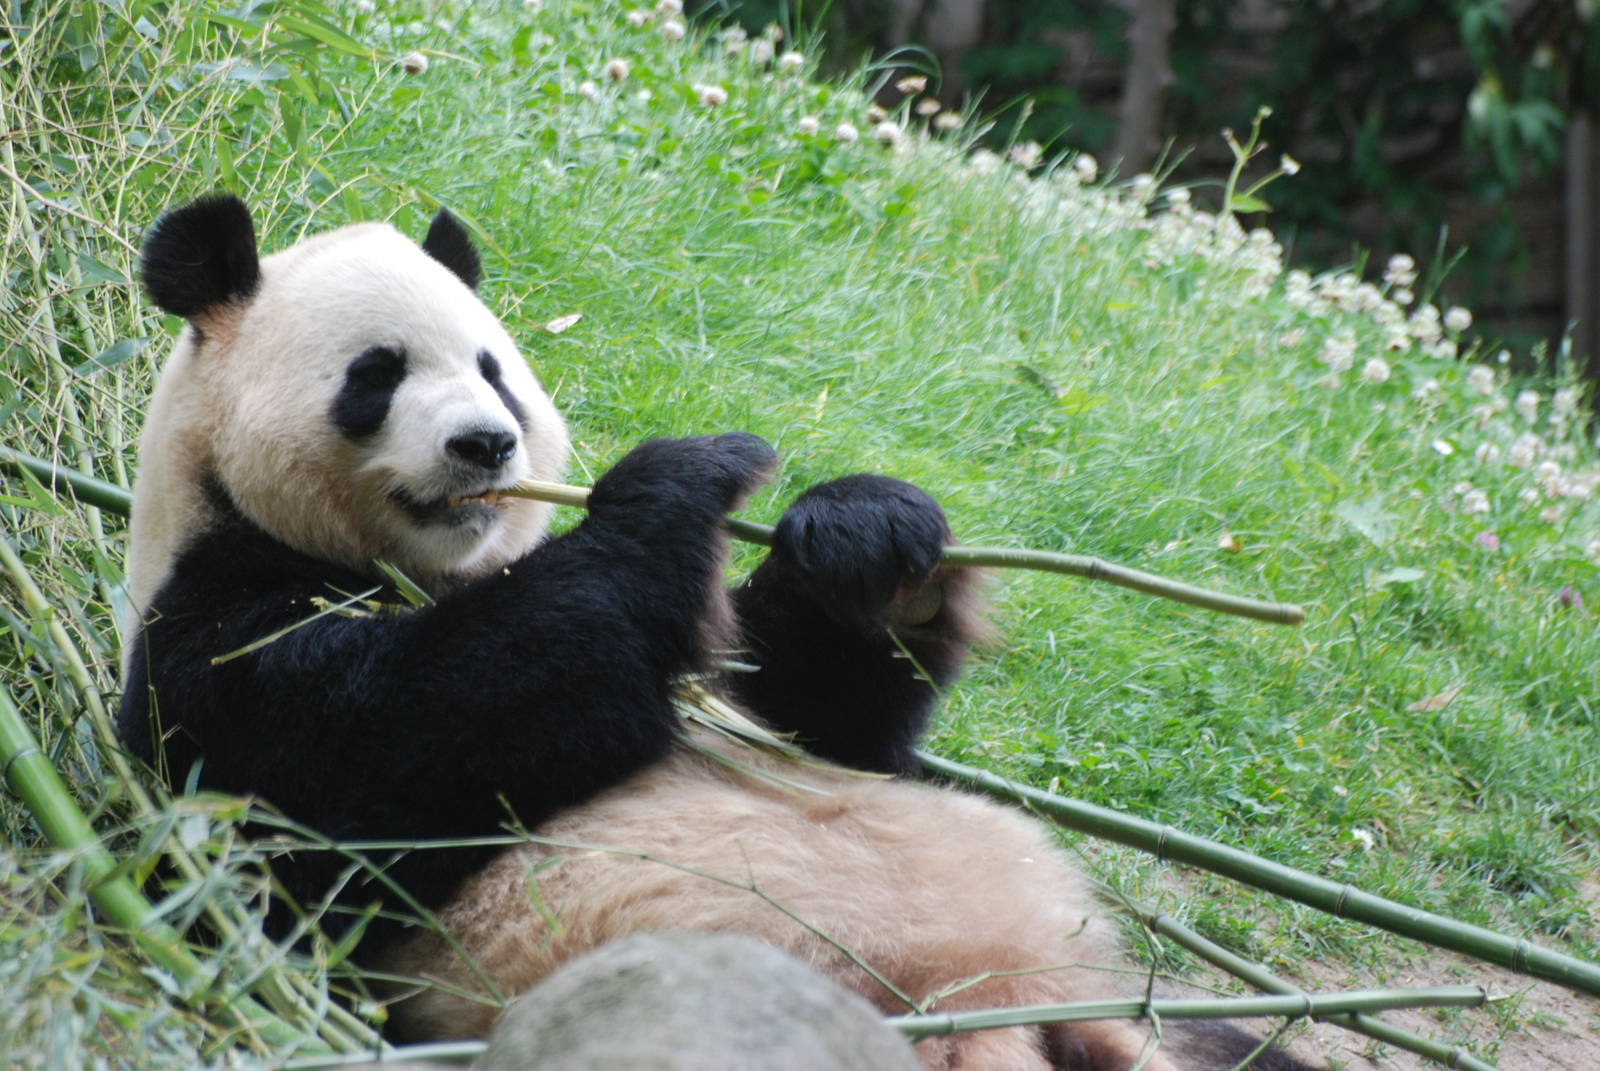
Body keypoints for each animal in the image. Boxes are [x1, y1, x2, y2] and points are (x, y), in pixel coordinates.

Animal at [118, 194, 1315, 1071]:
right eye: (376, 376)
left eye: (495, 367)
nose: (487, 444)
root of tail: (1016, 1014)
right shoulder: (218, 642)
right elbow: (394, 752)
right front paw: (675, 479)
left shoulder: (752, 698)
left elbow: (826, 719)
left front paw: (867, 538)